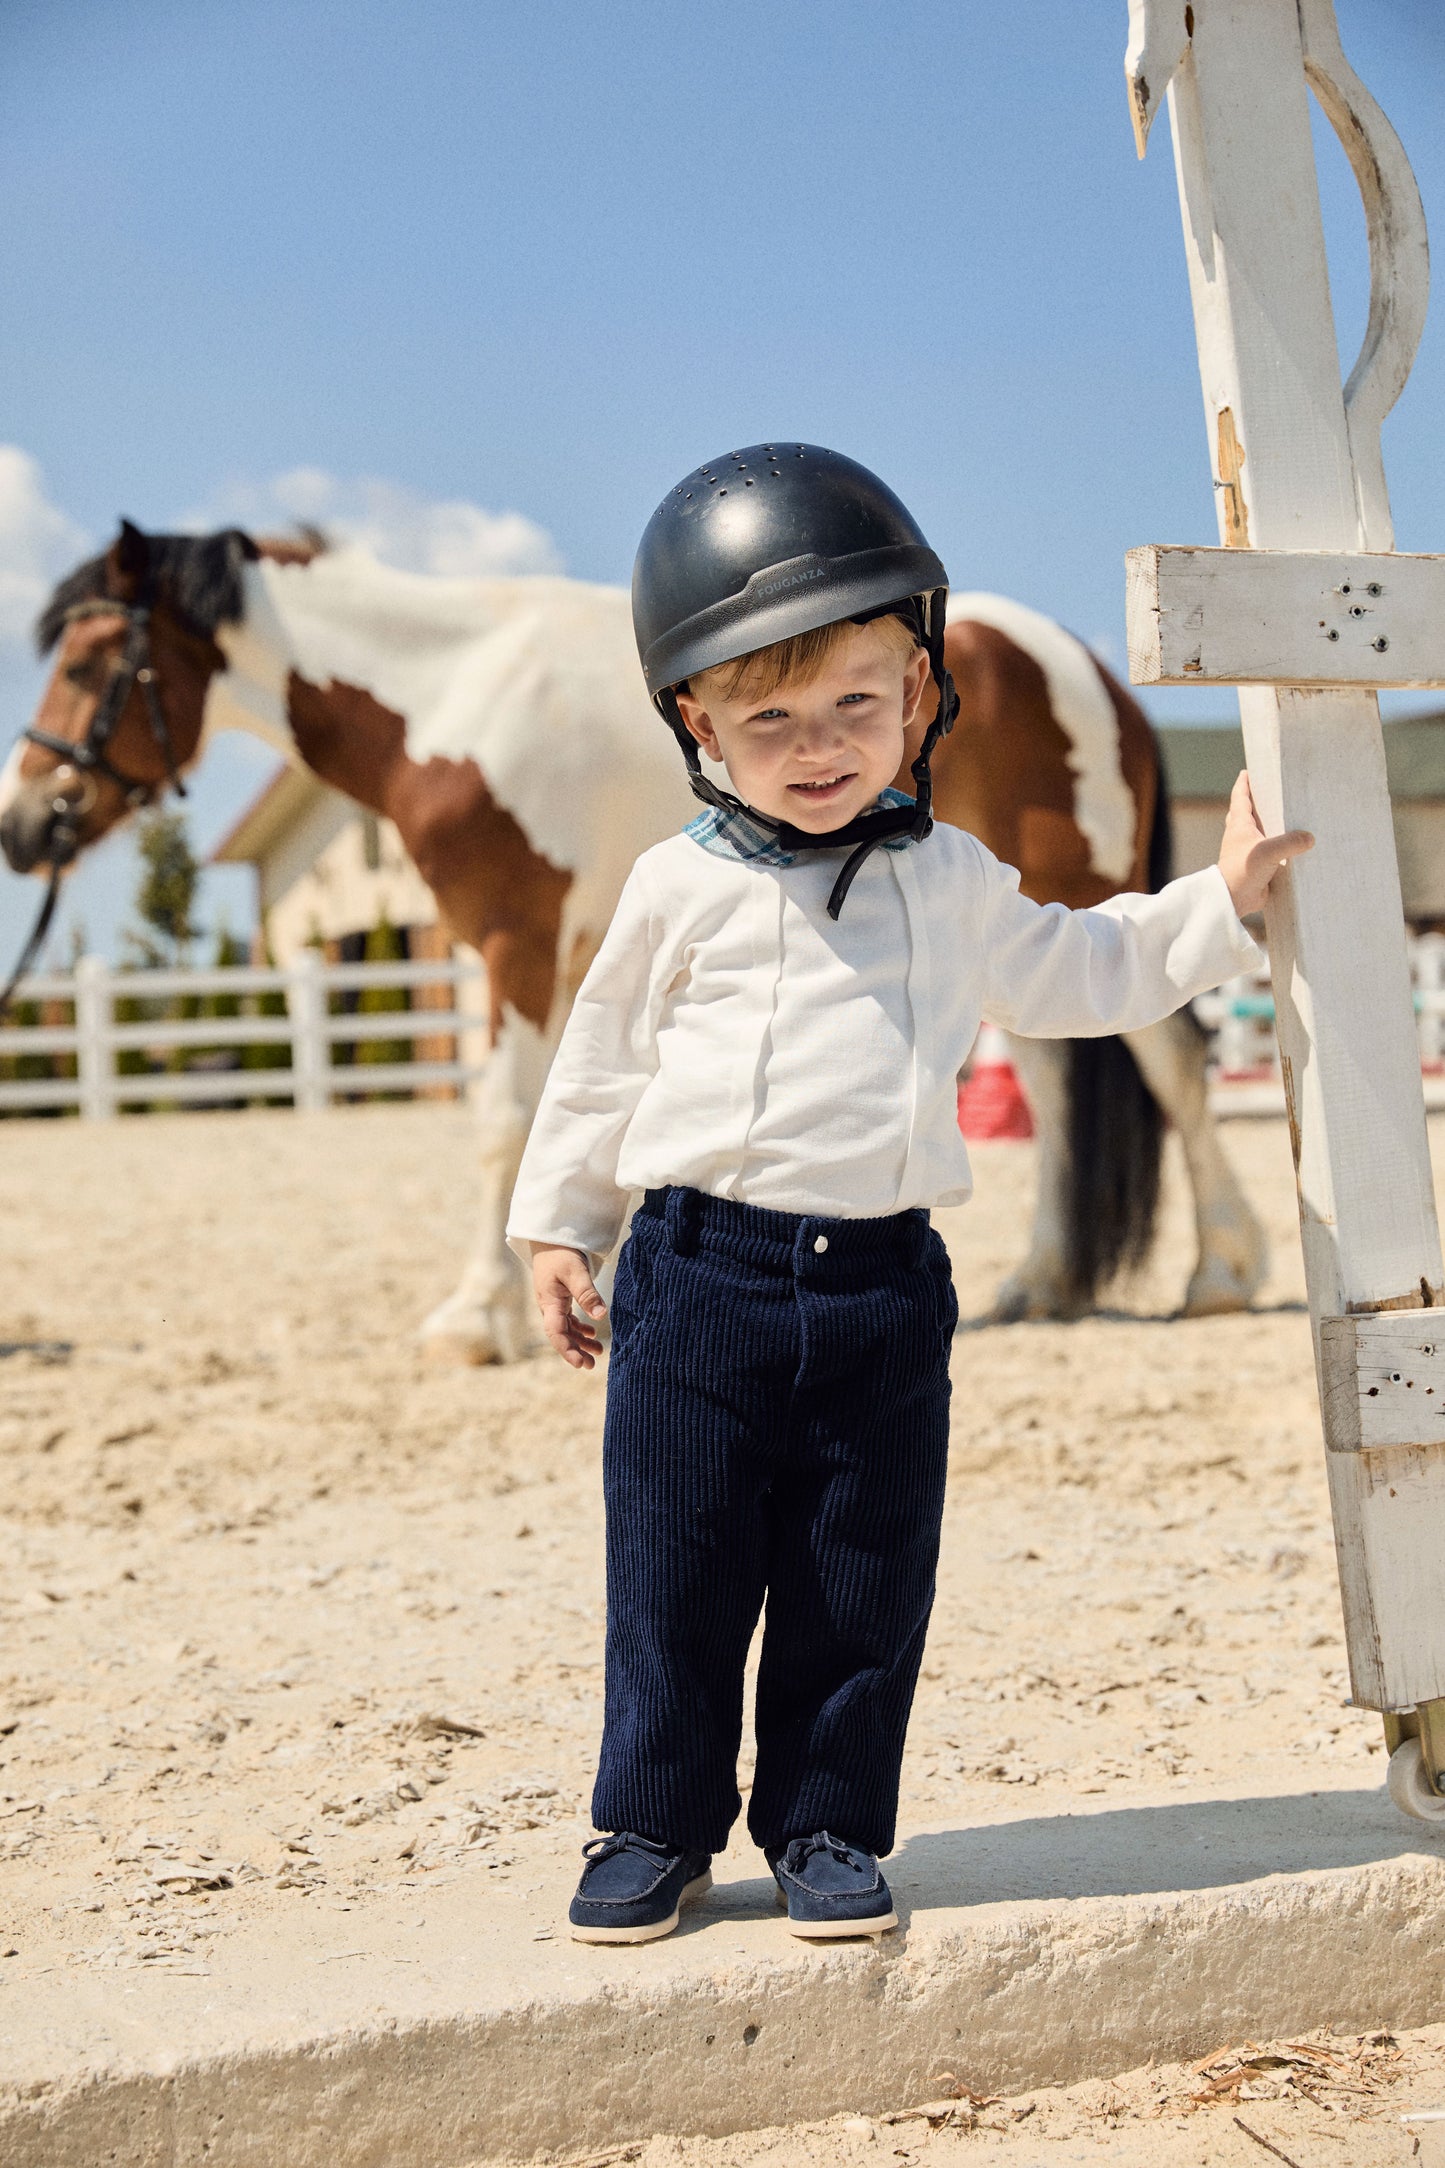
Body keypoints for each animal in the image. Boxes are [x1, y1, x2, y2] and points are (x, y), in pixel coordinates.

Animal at [0, 522, 1265, 1352]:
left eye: (91, 662)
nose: (25, 824)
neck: (450, 695)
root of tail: (1092, 667)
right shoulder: (551, 955)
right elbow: (565, 1120)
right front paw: (551, 1291)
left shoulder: (512, 939)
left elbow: (499, 1120)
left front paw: (475, 1316)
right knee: (1056, 1077)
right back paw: (1040, 1283)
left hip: (1074, 888)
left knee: (1170, 1061)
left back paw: (1220, 1271)